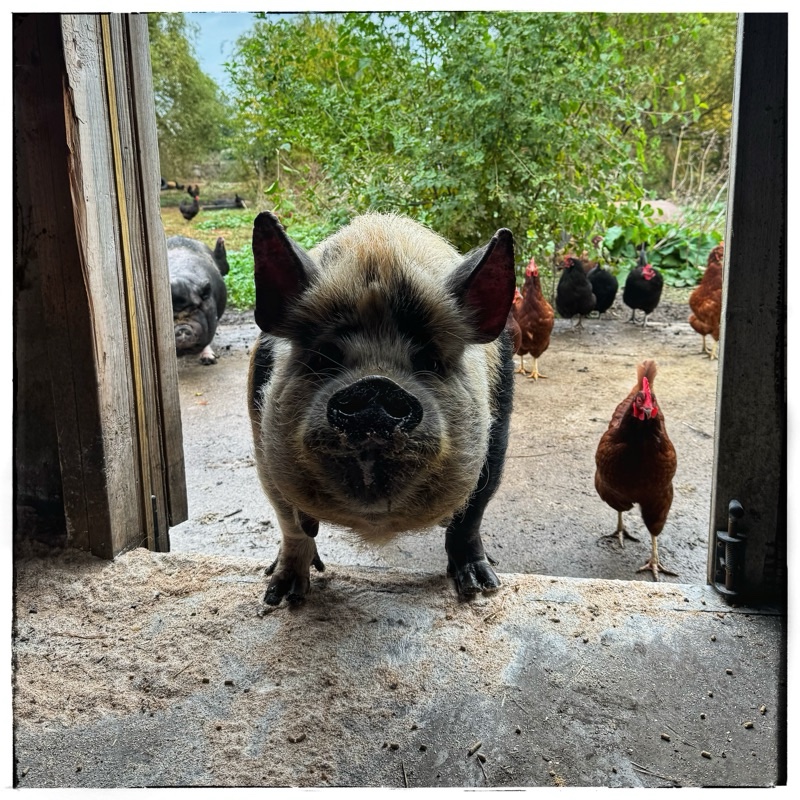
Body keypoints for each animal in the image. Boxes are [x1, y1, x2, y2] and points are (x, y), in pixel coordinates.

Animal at [248, 211, 516, 605]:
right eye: (323, 358)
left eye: (430, 361)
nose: (375, 386)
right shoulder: (262, 442)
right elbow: (290, 522)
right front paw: (280, 599)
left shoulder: (495, 438)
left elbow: (470, 515)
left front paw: (481, 589)